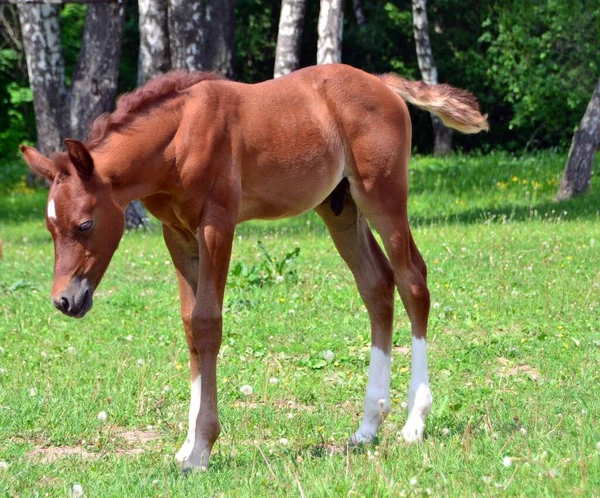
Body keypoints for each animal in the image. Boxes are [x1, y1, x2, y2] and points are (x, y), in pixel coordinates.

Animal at [19, 63, 488, 470]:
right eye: (49, 227)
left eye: (85, 224)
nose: (65, 300)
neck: (176, 140)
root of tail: (383, 83)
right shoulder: (177, 234)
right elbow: (190, 326)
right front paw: (187, 443)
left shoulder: (217, 225)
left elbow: (208, 324)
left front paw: (201, 449)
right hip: (340, 207)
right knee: (376, 285)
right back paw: (368, 426)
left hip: (383, 195)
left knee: (412, 280)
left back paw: (414, 422)